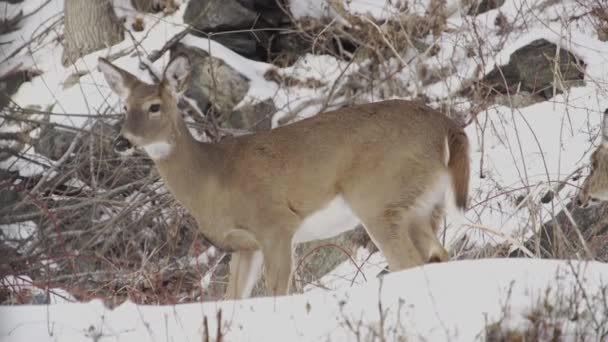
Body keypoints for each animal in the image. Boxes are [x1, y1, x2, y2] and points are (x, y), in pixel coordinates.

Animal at [98, 55, 470, 300]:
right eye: (124, 106)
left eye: (155, 106)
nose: (121, 142)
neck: (213, 178)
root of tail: (446, 126)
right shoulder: (244, 246)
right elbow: (233, 299)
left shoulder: (275, 223)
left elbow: (278, 292)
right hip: (421, 205)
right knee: (439, 256)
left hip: (379, 198)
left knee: (409, 262)